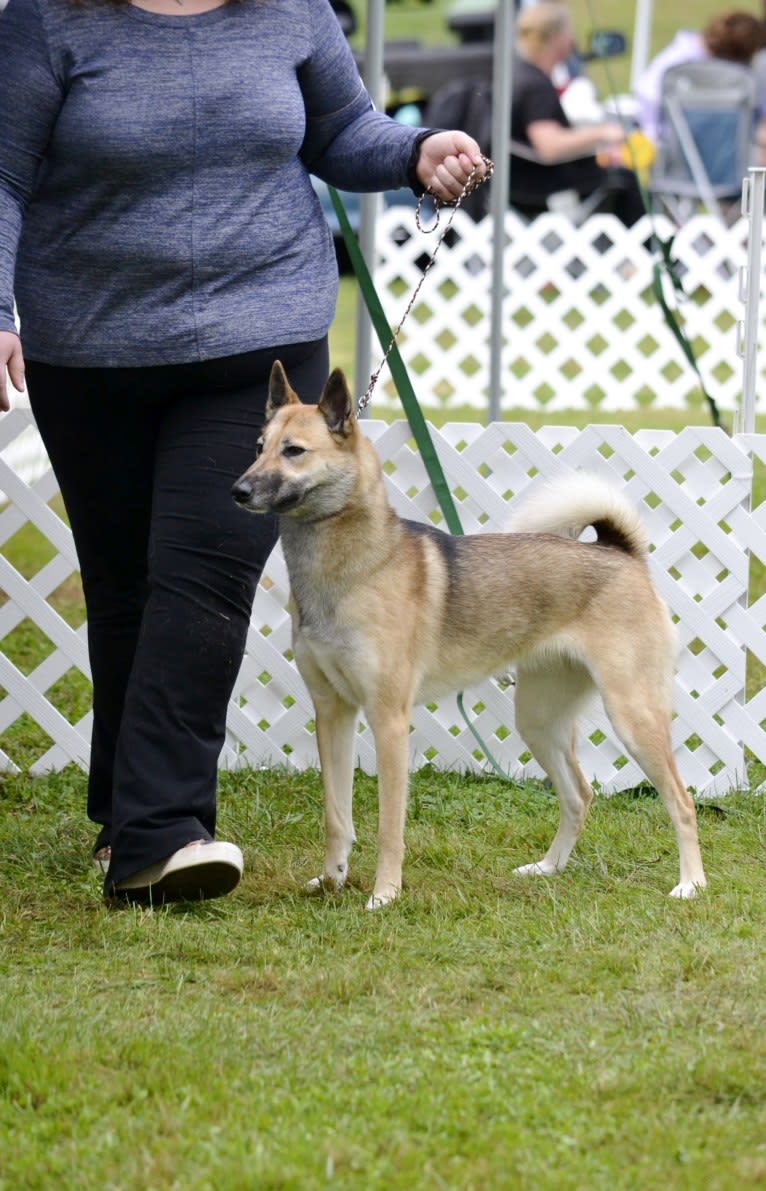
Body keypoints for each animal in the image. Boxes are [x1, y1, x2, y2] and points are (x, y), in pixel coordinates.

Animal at [232, 357, 705, 905]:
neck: (352, 567)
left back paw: (690, 883)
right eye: (258, 446)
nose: (238, 491)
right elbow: (336, 816)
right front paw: (332, 881)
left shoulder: (388, 720)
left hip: (633, 715)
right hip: (538, 720)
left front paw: (384, 894)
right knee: (579, 795)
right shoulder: (332, 712)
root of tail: (619, 552)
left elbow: (389, 826)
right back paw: (548, 868)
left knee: (681, 800)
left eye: (294, 451)